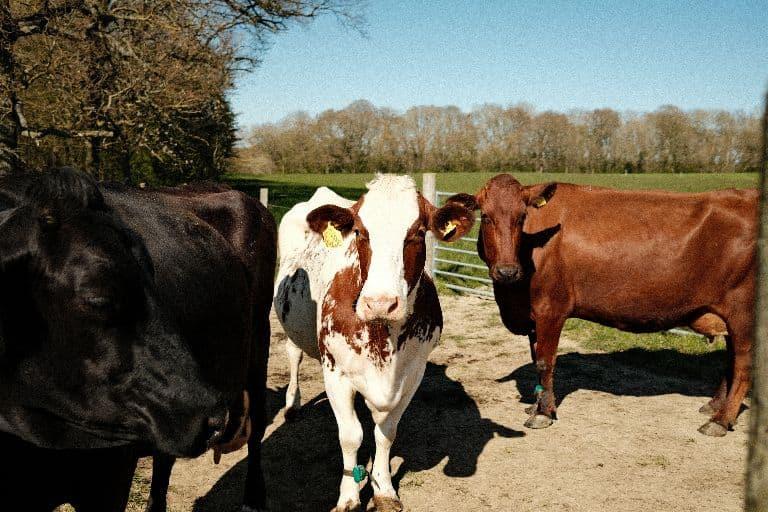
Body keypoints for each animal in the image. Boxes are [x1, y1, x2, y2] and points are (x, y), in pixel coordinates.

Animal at [0, 168, 275, 511]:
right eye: (98, 298)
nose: (213, 416)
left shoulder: (110, 477)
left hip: (258, 340)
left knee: (258, 425)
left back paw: (254, 497)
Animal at [274, 175, 474, 512]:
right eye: (360, 232)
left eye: (417, 232)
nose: (380, 303)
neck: (384, 337)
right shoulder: (336, 373)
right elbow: (350, 436)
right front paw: (349, 495)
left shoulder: (413, 372)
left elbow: (386, 433)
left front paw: (383, 488)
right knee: (293, 354)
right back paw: (292, 403)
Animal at [445, 173, 757, 437]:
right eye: (486, 217)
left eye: (522, 217)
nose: (507, 272)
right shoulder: (532, 316)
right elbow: (536, 360)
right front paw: (536, 404)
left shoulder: (550, 309)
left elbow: (546, 361)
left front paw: (543, 413)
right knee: (731, 359)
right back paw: (714, 406)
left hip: (742, 310)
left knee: (742, 363)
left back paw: (720, 420)